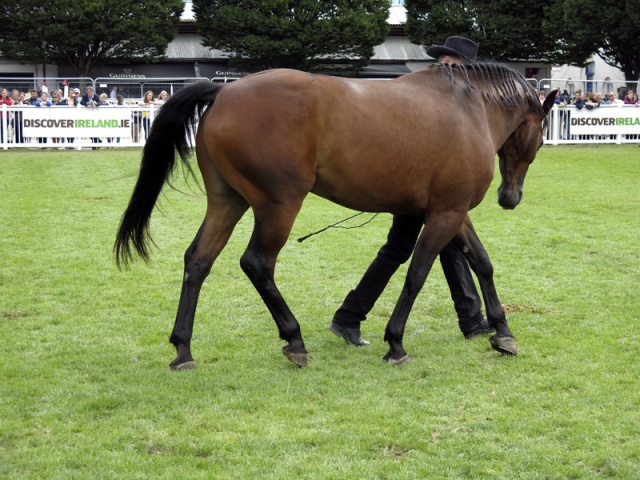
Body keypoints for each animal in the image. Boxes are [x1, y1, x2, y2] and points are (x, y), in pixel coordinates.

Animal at [115, 63, 556, 369]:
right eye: (538, 136)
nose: (510, 197)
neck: (469, 110)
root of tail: (224, 92)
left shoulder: (452, 211)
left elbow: (481, 263)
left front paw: (502, 331)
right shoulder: (445, 214)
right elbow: (417, 274)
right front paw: (396, 342)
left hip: (228, 201)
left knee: (199, 260)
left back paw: (183, 349)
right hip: (279, 204)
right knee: (257, 263)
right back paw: (294, 339)